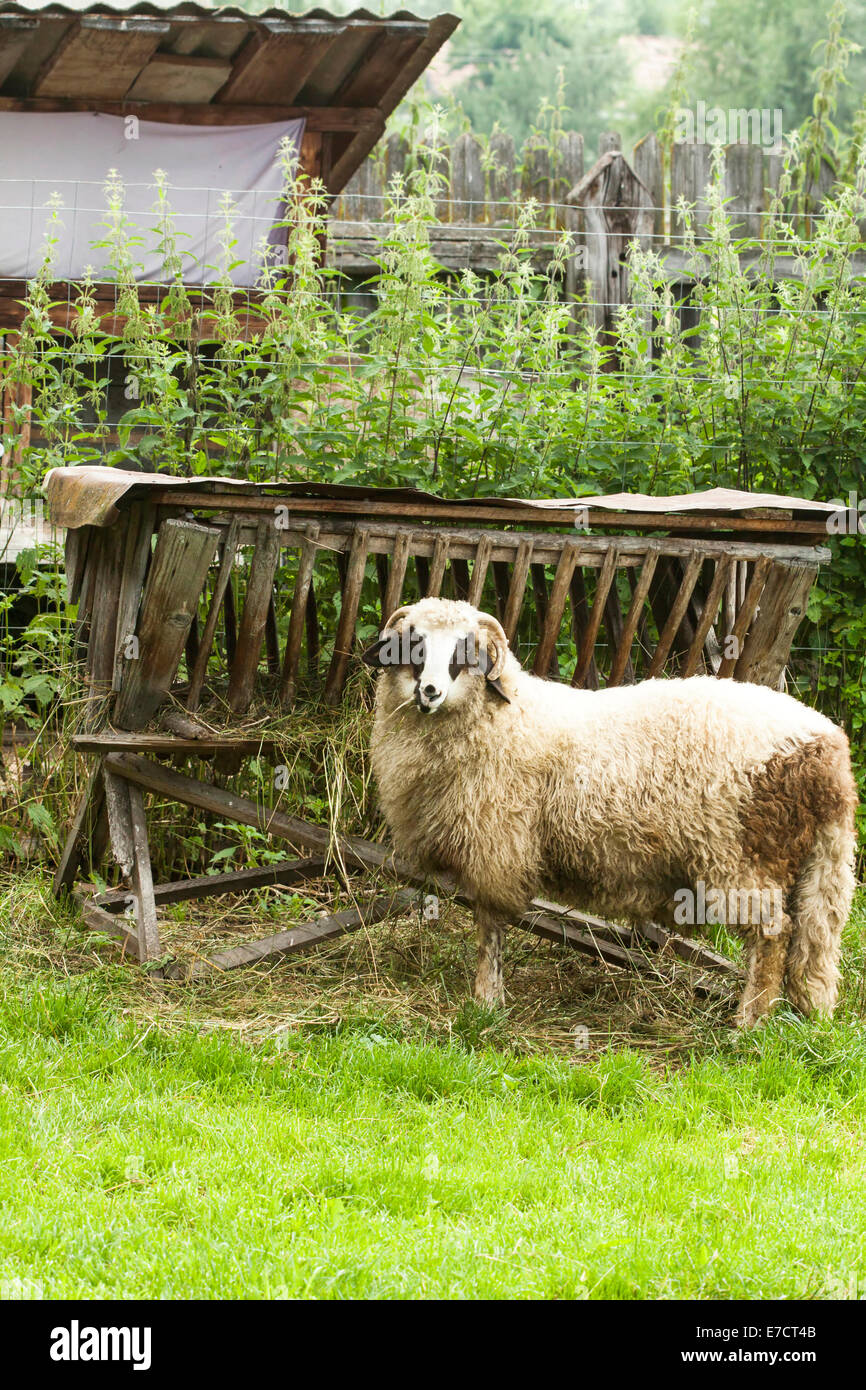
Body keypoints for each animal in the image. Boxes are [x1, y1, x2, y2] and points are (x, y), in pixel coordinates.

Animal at [364, 597, 858, 1026]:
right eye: (414, 642)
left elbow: (489, 928)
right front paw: (489, 1000)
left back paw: (748, 1024)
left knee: (773, 935)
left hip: (744, 858)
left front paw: (485, 1002)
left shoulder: (496, 845)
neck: (502, 719)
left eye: (465, 651)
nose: (429, 691)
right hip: (804, 863)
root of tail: (827, 746)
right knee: (807, 939)